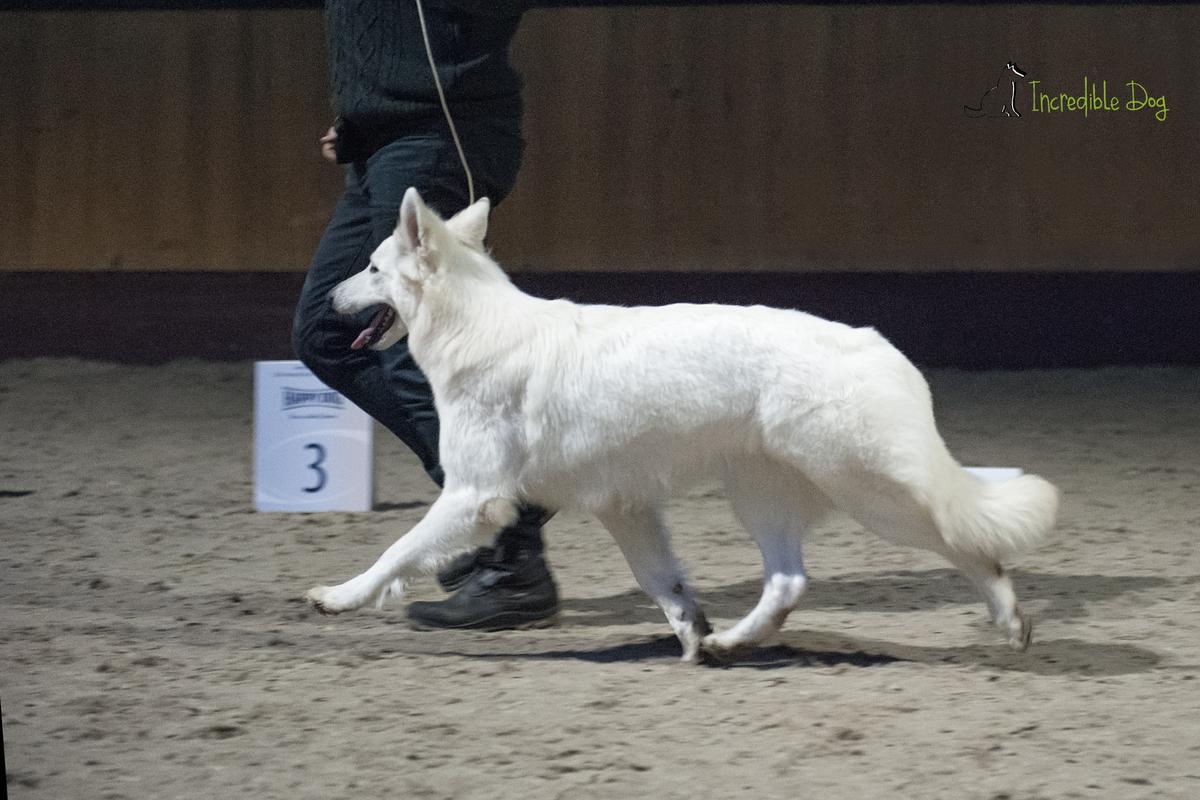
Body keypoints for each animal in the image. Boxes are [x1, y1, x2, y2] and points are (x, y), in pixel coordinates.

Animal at [304, 188, 1056, 662]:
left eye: (370, 267)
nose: (328, 297)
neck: (475, 326)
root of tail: (879, 346)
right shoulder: (624, 506)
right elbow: (663, 584)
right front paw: (693, 636)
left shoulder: (471, 495)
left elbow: (396, 551)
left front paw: (338, 597)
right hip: (760, 493)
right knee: (789, 582)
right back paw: (732, 643)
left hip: (871, 492)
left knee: (968, 543)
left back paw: (1010, 618)